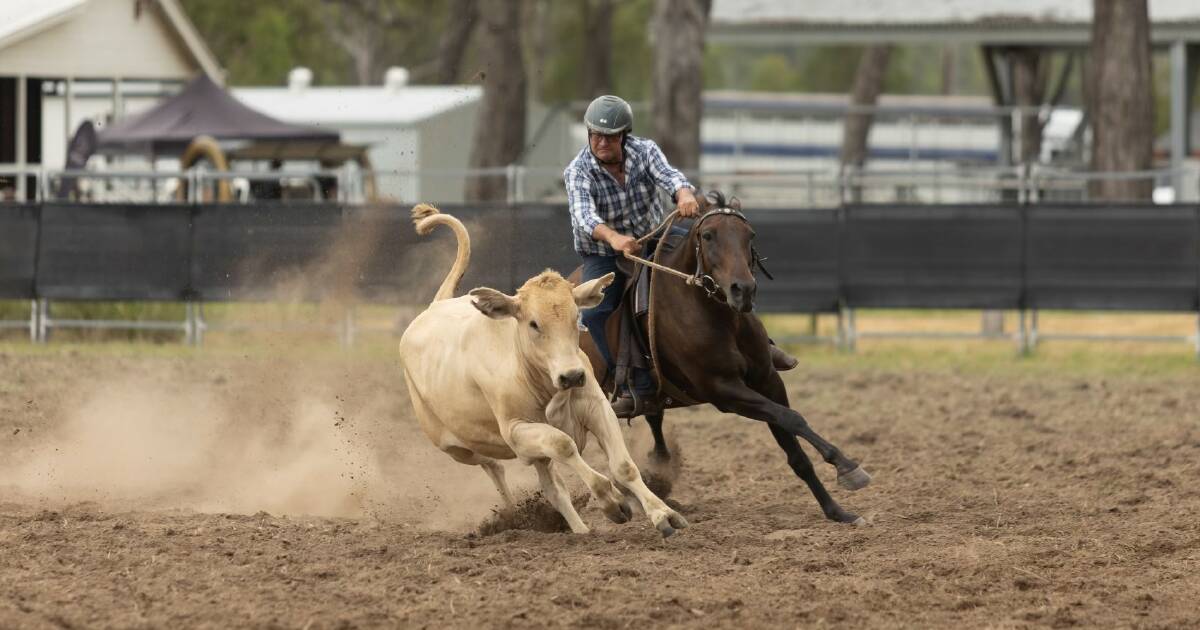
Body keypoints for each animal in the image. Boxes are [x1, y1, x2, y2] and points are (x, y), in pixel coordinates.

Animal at [573, 192, 868, 525]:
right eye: (708, 235)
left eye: (749, 235)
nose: (743, 290)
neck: (719, 316)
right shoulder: (724, 391)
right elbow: (791, 417)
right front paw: (847, 466)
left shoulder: (768, 380)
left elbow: (794, 444)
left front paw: (837, 510)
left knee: (653, 417)